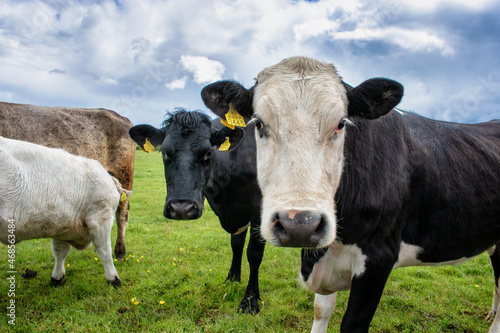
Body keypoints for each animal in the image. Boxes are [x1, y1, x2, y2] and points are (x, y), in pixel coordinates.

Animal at [0, 136, 129, 286]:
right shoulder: (100, 219)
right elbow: (104, 251)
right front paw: (113, 278)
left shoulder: (61, 225)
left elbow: (60, 252)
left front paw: (57, 277)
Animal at [128, 107, 266, 312]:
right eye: (164, 153)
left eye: (208, 153)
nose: (181, 208)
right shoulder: (236, 212)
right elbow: (236, 245)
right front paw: (232, 278)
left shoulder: (259, 208)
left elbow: (254, 253)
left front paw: (250, 300)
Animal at [201, 57, 500, 332]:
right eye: (259, 124)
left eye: (341, 124)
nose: (299, 225)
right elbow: (321, 310)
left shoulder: (378, 260)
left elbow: (352, 324)